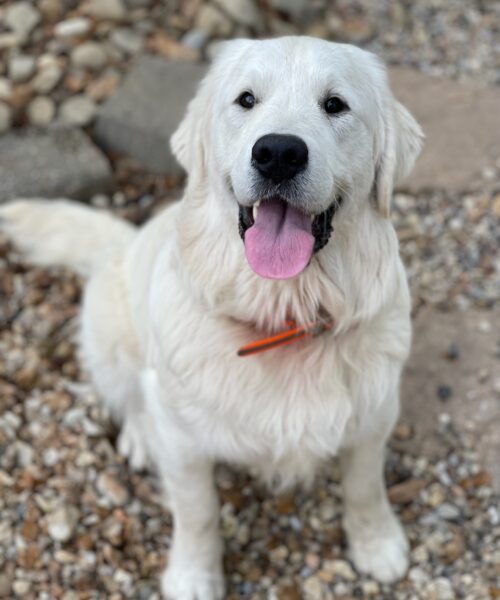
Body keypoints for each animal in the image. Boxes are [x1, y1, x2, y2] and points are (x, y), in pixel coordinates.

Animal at [0, 38, 424, 600]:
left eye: (335, 104)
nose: (279, 153)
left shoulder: (375, 412)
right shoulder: (184, 441)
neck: (283, 312)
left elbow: (364, 486)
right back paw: (140, 437)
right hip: (110, 335)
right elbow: (197, 512)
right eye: (246, 99)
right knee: (130, 395)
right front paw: (193, 577)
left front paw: (377, 545)